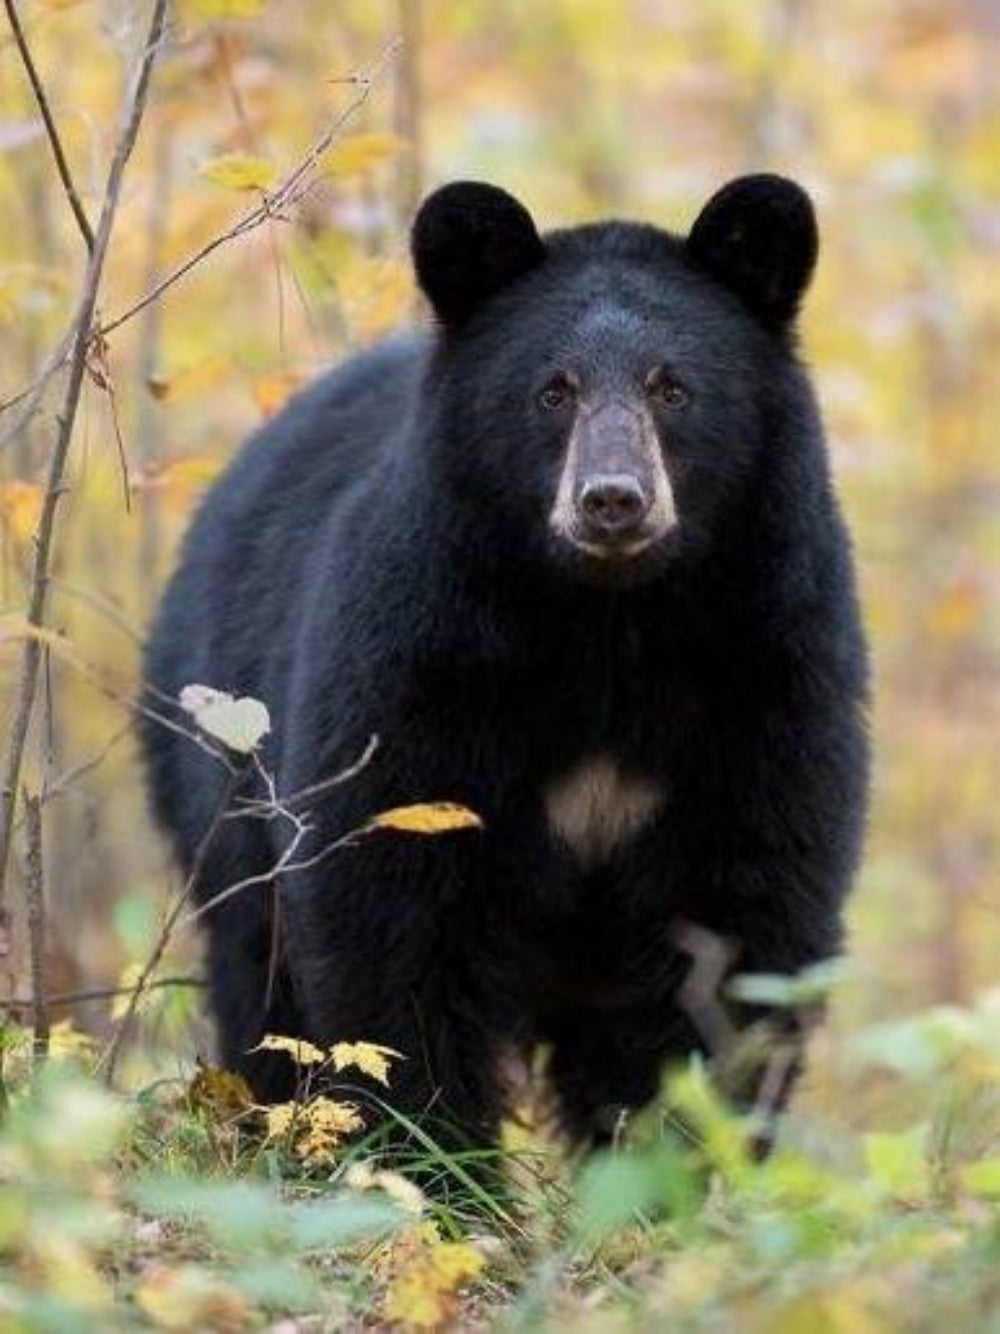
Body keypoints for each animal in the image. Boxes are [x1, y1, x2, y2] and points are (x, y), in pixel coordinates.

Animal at [142, 173, 870, 1155]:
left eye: (673, 387)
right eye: (552, 390)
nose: (613, 501)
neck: (609, 626)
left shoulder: (770, 672)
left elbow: (743, 928)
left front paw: (676, 1162)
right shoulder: (420, 664)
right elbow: (392, 922)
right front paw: (434, 1168)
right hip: (219, 772)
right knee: (260, 979)